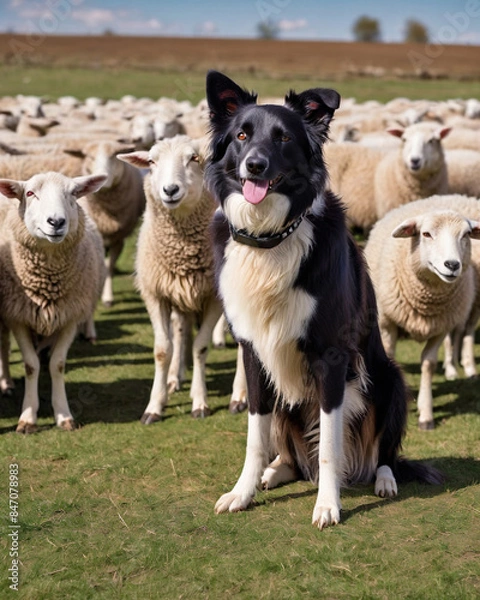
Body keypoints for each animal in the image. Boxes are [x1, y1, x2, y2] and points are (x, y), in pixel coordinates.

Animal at [0, 169, 107, 432]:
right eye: (30, 193)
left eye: (73, 193)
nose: (57, 222)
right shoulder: (17, 317)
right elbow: (30, 365)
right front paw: (28, 417)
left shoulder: (70, 317)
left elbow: (57, 364)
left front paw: (63, 414)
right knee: (3, 346)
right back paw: (6, 383)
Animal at [64, 141, 146, 308]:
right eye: (90, 157)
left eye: (113, 156)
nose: (103, 178)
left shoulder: (118, 239)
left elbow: (109, 267)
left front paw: (107, 297)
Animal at [116, 134, 246, 420]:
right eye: (151, 162)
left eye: (194, 158)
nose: (170, 190)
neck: (182, 250)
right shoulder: (156, 294)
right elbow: (163, 350)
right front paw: (155, 404)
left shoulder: (213, 297)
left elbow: (201, 347)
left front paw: (200, 402)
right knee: (181, 330)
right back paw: (175, 377)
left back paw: (239, 396)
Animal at [204, 71, 440, 528]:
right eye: (242, 135)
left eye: (283, 138)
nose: (254, 165)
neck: (271, 237)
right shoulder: (254, 351)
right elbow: (255, 435)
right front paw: (242, 492)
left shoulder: (332, 358)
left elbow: (330, 445)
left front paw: (328, 505)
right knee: (294, 456)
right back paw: (276, 472)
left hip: (389, 381)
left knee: (383, 452)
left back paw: (384, 479)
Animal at [364, 202, 480, 432]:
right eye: (426, 234)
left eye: (466, 235)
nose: (452, 265)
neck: (426, 302)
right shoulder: (387, 323)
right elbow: (390, 357)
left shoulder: (441, 327)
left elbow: (428, 364)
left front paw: (426, 415)